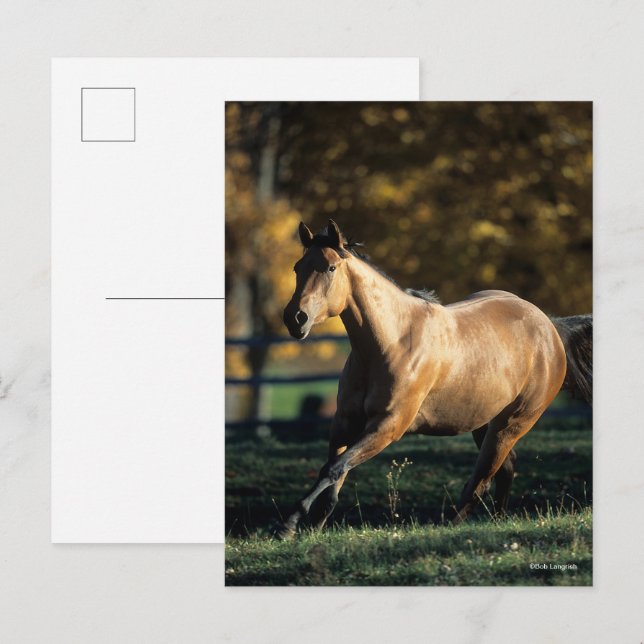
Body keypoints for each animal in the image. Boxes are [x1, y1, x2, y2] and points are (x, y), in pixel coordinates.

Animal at [278, 219, 592, 538]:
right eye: (298, 267)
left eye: (330, 268)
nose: (295, 318)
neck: (391, 343)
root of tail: (549, 326)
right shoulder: (344, 423)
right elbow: (334, 473)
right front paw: (312, 526)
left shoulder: (387, 427)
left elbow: (334, 468)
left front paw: (290, 523)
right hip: (483, 423)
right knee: (504, 469)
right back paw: (497, 520)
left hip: (511, 425)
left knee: (481, 481)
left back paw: (449, 526)